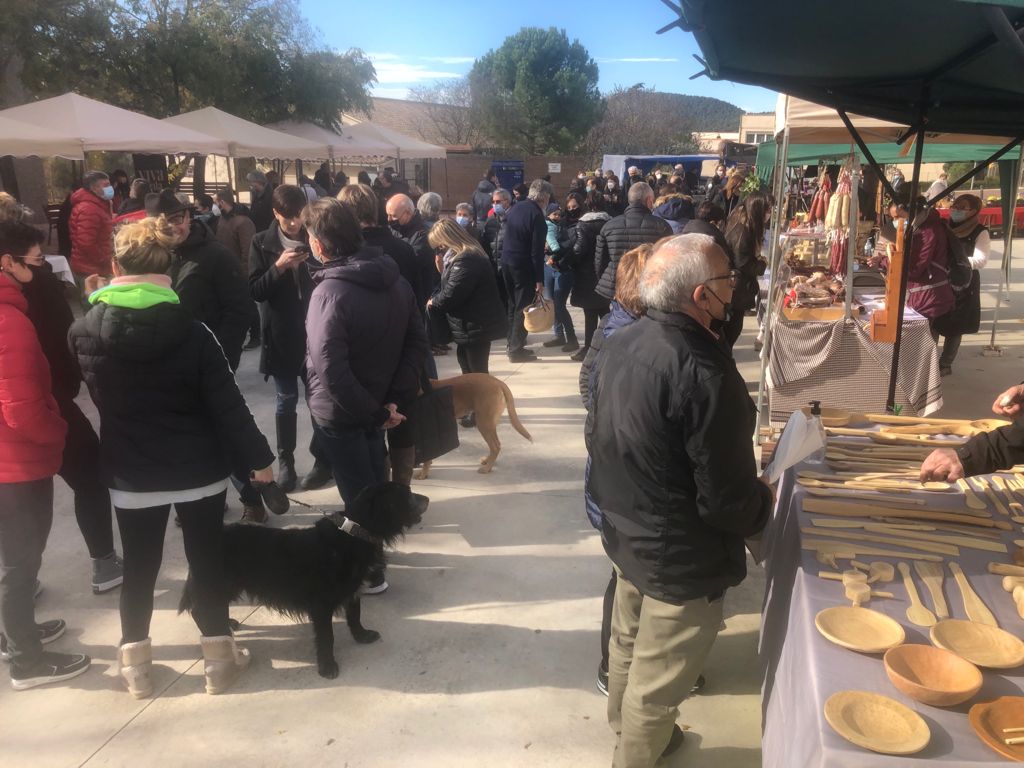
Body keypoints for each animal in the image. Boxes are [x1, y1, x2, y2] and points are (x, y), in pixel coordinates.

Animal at [180, 483, 428, 675]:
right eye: (406, 494)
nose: (426, 498)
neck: (352, 535)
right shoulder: (321, 605)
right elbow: (327, 637)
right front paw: (327, 666)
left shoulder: (352, 591)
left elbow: (355, 616)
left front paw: (362, 635)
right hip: (219, 583)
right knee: (199, 610)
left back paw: (227, 623)